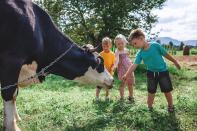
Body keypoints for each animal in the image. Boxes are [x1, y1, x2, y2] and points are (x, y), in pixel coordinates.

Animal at [0, 0, 113, 130]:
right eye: (101, 63)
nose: (112, 79)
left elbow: (14, 94)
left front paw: (15, 118)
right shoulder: (11, 62)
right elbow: (9, 94)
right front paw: (12, 126)